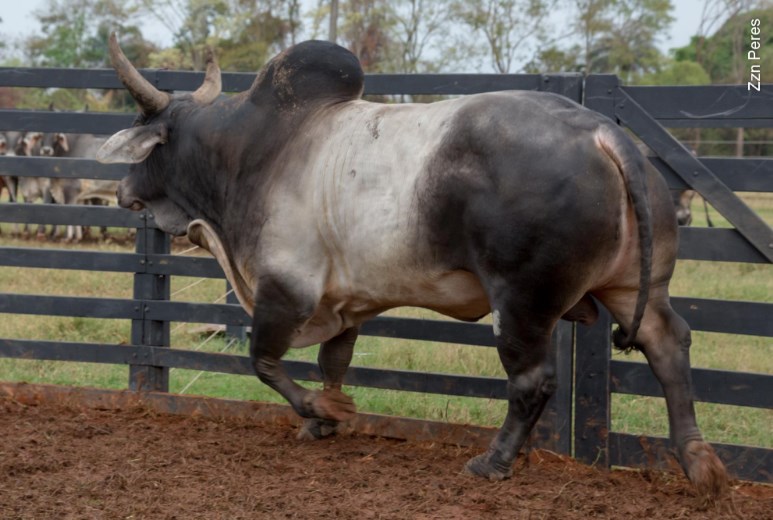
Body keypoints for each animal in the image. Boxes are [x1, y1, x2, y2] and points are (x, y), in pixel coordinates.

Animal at [95, 33, 724, 500]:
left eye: (151, 147)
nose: (122, 190)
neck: (253, 152)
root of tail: (601, 133)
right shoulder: (343, 301)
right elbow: (333, 361)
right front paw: (325, 417)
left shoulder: (286, 287)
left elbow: (265, 362)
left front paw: (321, 411)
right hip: (634, 286)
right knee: (669, 346)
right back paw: (698, 461)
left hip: (522, 301)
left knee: (531, 380)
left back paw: (494, 462)